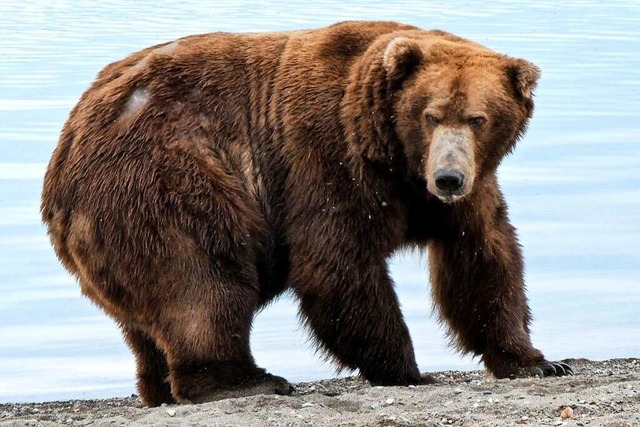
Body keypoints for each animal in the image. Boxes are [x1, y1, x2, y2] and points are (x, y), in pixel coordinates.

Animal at [40, 20, 572, 408]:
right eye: (431, 114)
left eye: (478, 118)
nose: (448, 178)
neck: (394, 159)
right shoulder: (325, 155)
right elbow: (336, 263)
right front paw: (407, 369)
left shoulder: (467, 189)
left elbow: (483, 259)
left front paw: (536, 360)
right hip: (165, 179)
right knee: (203, 281)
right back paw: (247, 380)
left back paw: (160, 390)